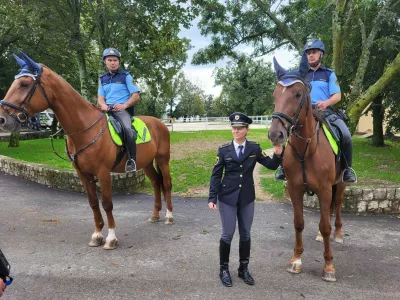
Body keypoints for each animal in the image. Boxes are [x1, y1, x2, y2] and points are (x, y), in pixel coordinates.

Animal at [0, 52, 173, 250]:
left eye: (24, 84)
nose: (3, 119)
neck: (85, 129)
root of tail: (160, 123)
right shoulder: (83, 174)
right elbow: (93, 203)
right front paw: (97, 235)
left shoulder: (103, 172)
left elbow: (107, 203)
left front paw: (111, 238)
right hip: (146, 163)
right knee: (156, 183)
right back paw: (155, 214)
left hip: (163, 159)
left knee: (166, 183)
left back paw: (169, 216)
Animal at [268, 53, 346, 282]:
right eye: (275, 94)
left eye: (297, 94)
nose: (275, 135)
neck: (306, 150)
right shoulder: (295, 189)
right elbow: (299, 222)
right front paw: (296, 260)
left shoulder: (325, 189)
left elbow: (326, 225)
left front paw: (329, 266)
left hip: (341, 183)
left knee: (337, 204)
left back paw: (339, 233)